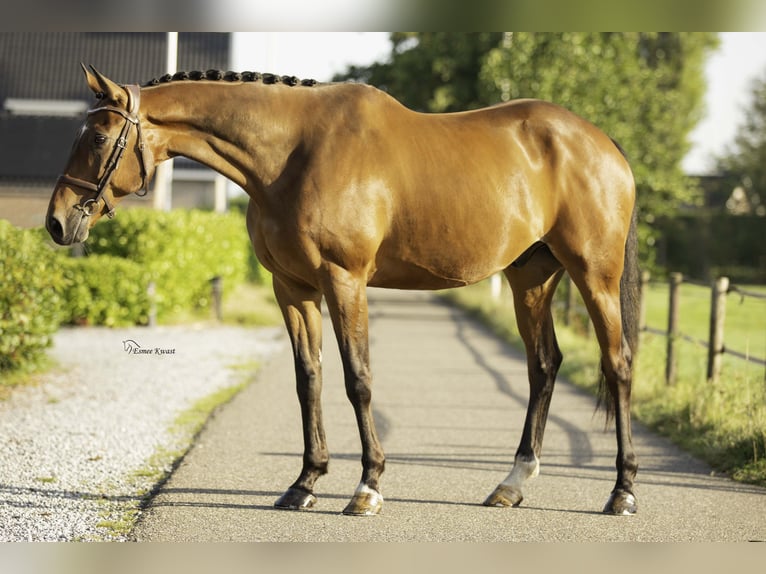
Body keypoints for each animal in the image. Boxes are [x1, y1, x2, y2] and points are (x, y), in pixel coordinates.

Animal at [43, 65, 640, 520]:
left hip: (594, 275)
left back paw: (622, 492)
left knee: (617, 365)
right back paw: (511, 484)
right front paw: (304, 483)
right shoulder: (294, 289)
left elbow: (358, 379)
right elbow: (309, 379)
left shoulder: (343, 279)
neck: (292, 153)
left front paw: (367, 487)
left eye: (98, 138)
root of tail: (601, 143)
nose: (56, 223)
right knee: (544, 364)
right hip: (531, 277)